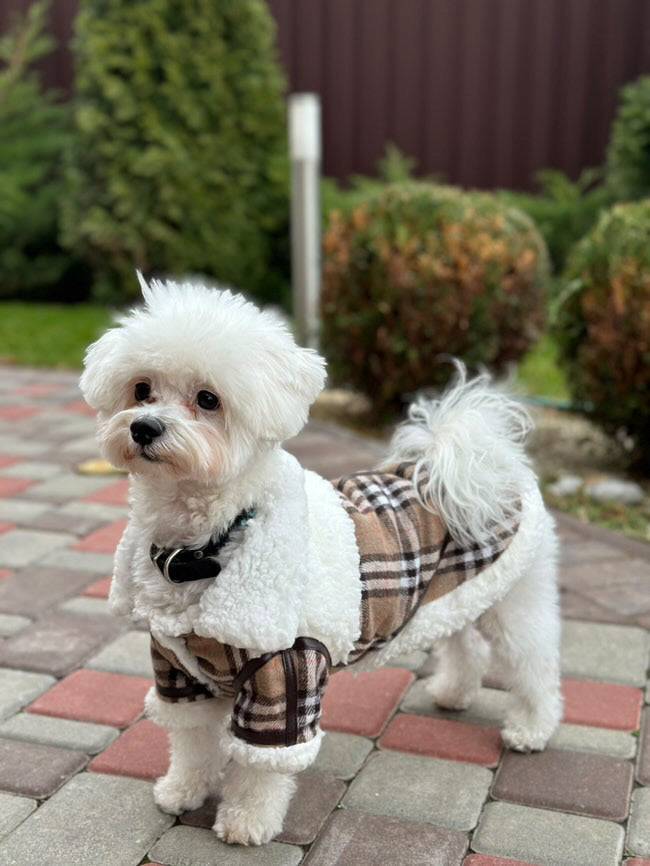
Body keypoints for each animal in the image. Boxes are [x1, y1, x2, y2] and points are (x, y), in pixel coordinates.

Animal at [79, 276, 556, 844]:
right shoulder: (178, 668)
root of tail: (487, 461)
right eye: (141, 389)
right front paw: (183, 789)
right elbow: (192, 739)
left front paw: (247, 821)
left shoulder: (286, 670)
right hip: (458, 592)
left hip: (514, 597)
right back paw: (453, 691)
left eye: (208, 399)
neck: (205, 544)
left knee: (533, 662)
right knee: (466, 644)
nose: (144, 428)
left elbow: (262, 764)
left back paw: (531, 728)